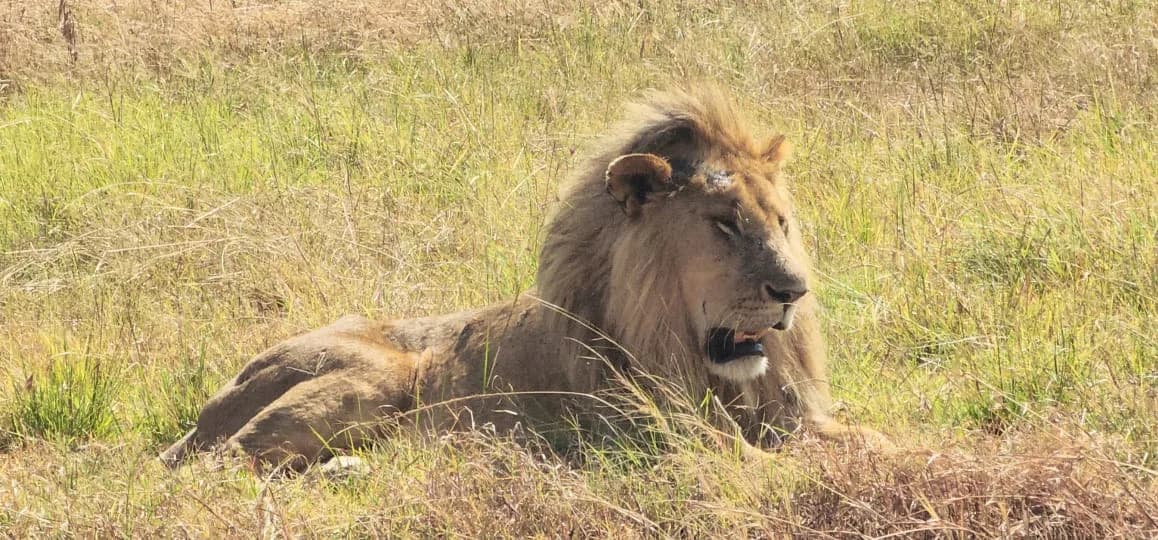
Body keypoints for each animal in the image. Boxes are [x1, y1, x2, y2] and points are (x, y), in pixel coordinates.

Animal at [160, 87, 888, 472]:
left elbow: (872, 439)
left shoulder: (790, 415)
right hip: (371, 377)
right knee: (225, 464)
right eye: (724, 224)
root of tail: (210, 408)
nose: (793, 293)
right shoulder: (644, 432)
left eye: (782, 222)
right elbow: (760, 463)